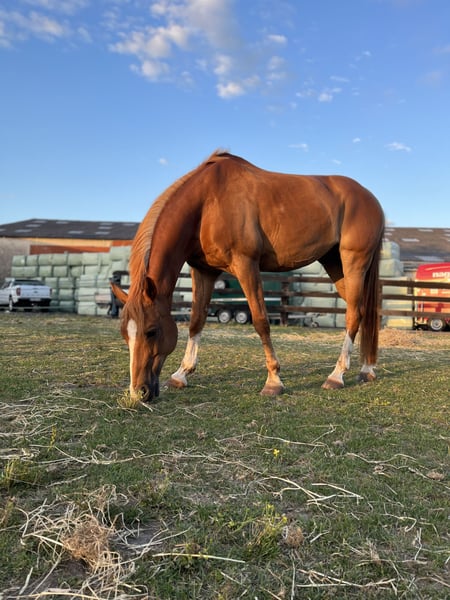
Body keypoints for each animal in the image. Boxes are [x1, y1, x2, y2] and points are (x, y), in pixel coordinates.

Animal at [111, 151, 384, 401]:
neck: (206, 203)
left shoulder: (246, 265)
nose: (139, 392)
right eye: (125, 333)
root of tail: (370, 198)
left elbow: (261, 321)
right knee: (361, 311)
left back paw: (336, 376)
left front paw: (274, 381)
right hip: (335, 264)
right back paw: (366, 370)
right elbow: (196, 320)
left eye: (152, 331)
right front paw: (181, 374)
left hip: (353, 262)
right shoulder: (204, 271)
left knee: (353, 314)